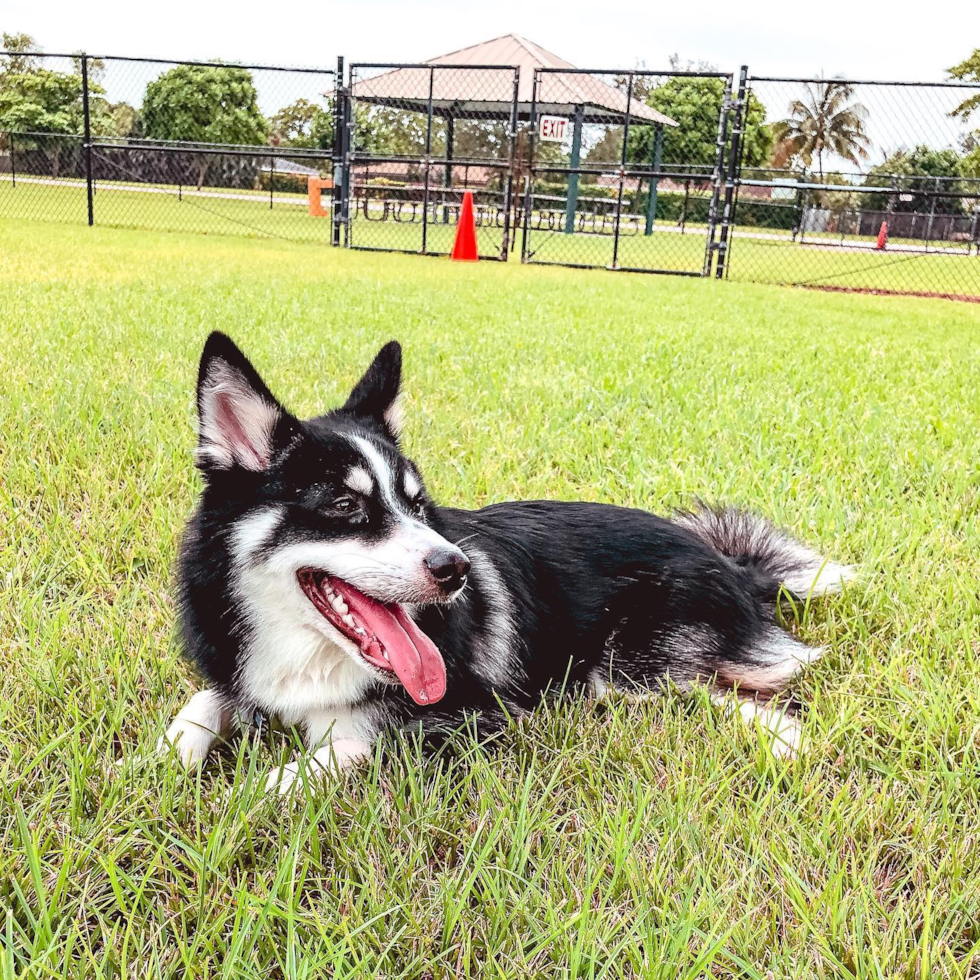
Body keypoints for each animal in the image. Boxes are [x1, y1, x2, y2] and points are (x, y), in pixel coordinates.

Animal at [159, 334, 848, 792]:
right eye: (344, 506)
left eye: (417, 503)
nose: (456, 568)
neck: (307, 655)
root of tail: (737, 568)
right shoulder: (235, 676)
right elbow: (201, 702)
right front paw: (159, 761)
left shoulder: (475, 720)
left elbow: (332, 755)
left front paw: (232, 796)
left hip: (627, 666)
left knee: (729, 688)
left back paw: (785, 741)